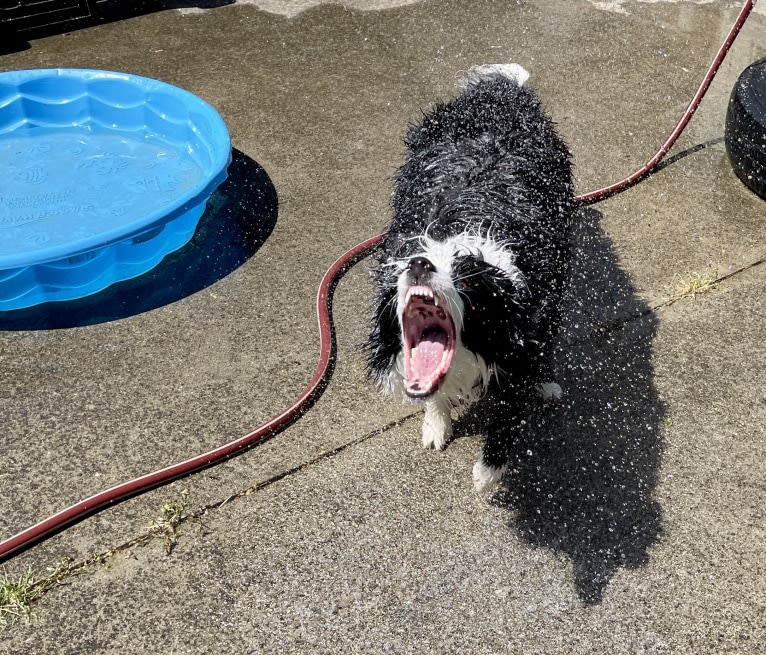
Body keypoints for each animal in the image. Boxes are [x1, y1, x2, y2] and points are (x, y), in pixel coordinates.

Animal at [364, 65, 576, 492]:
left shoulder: (524, 330)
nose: (419, 265)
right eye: (413, 259)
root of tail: (500, 91)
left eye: (463, 279)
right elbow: (432, 395)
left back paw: (546, 382)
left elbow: (509, 412)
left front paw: (487, 472)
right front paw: (436, 426)